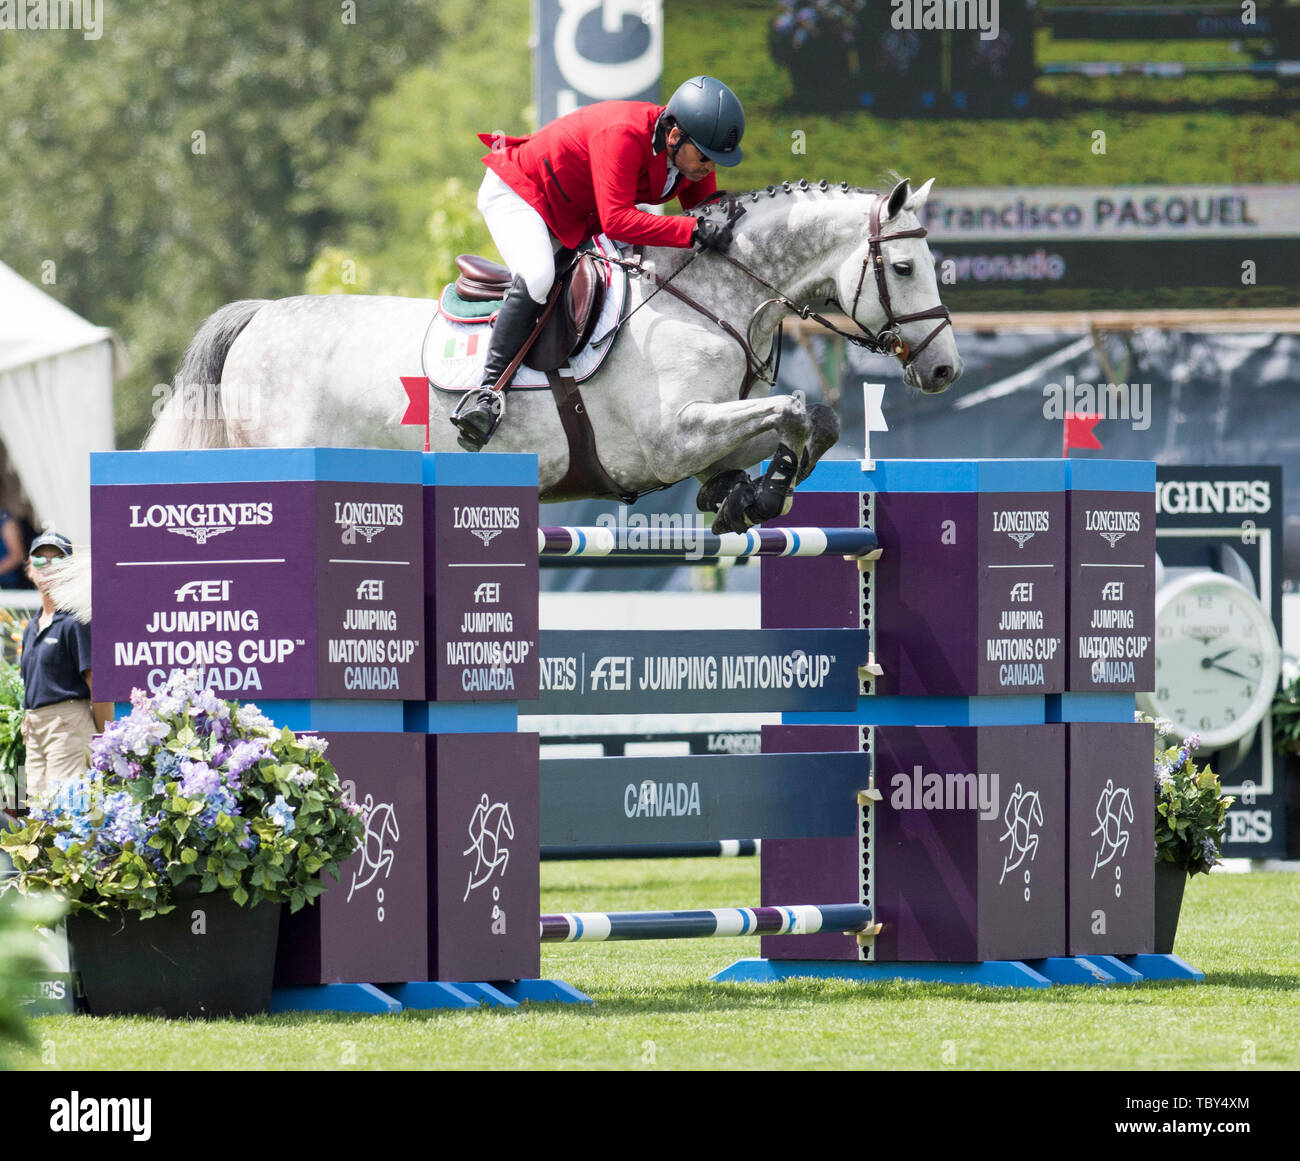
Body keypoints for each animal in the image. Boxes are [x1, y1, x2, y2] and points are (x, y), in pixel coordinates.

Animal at [147, 176, 961, 530]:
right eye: (903, 268)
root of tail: (260, 318)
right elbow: (798, 407)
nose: (945, 368)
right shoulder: (670, 438)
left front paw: (746, 497)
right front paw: (766, 494)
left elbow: (809, 419)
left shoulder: (715, 429)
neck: (709, 299)